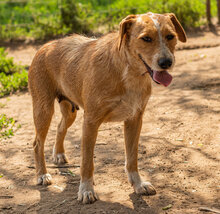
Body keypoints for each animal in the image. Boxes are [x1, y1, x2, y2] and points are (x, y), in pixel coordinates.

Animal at [28, 12, 186, 204]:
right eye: (146, 38)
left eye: (170, 36)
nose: (166, 62)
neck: (127, 71)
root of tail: (46, 46)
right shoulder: (90, 122)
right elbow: (87, 162)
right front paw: (86, 190)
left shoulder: (135, 120)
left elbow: (132, 158)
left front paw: (138, 184)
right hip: (43, 109)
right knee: (37, 143)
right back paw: (42, 175)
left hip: (70, 111)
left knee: (60, 128)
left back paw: (58, 154)